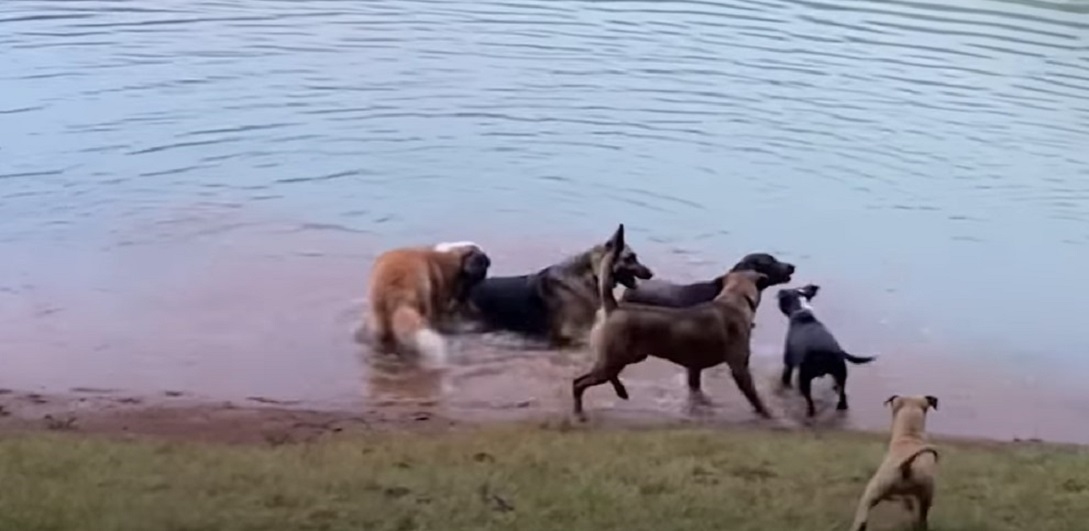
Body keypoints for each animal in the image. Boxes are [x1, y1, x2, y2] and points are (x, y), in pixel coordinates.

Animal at [570, 223, 775, 420]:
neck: (734, 299)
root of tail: (612, 307)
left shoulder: (696, 366)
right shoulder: (740, 367)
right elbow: (754, 396)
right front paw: (768, 415)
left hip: (626, 357)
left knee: (605, 375)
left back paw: (621, 391)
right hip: (614, 359)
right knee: (578, 383)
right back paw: (579, 412)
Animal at [775, 285, 875, 417]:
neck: (802, 312)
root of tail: (829, 352)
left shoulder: (788, 362)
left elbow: (786, 376)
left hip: (805, 378)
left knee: (810, 400)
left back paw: (810, 412)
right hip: (840, 373)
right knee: (842, 392)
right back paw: (841, 405)